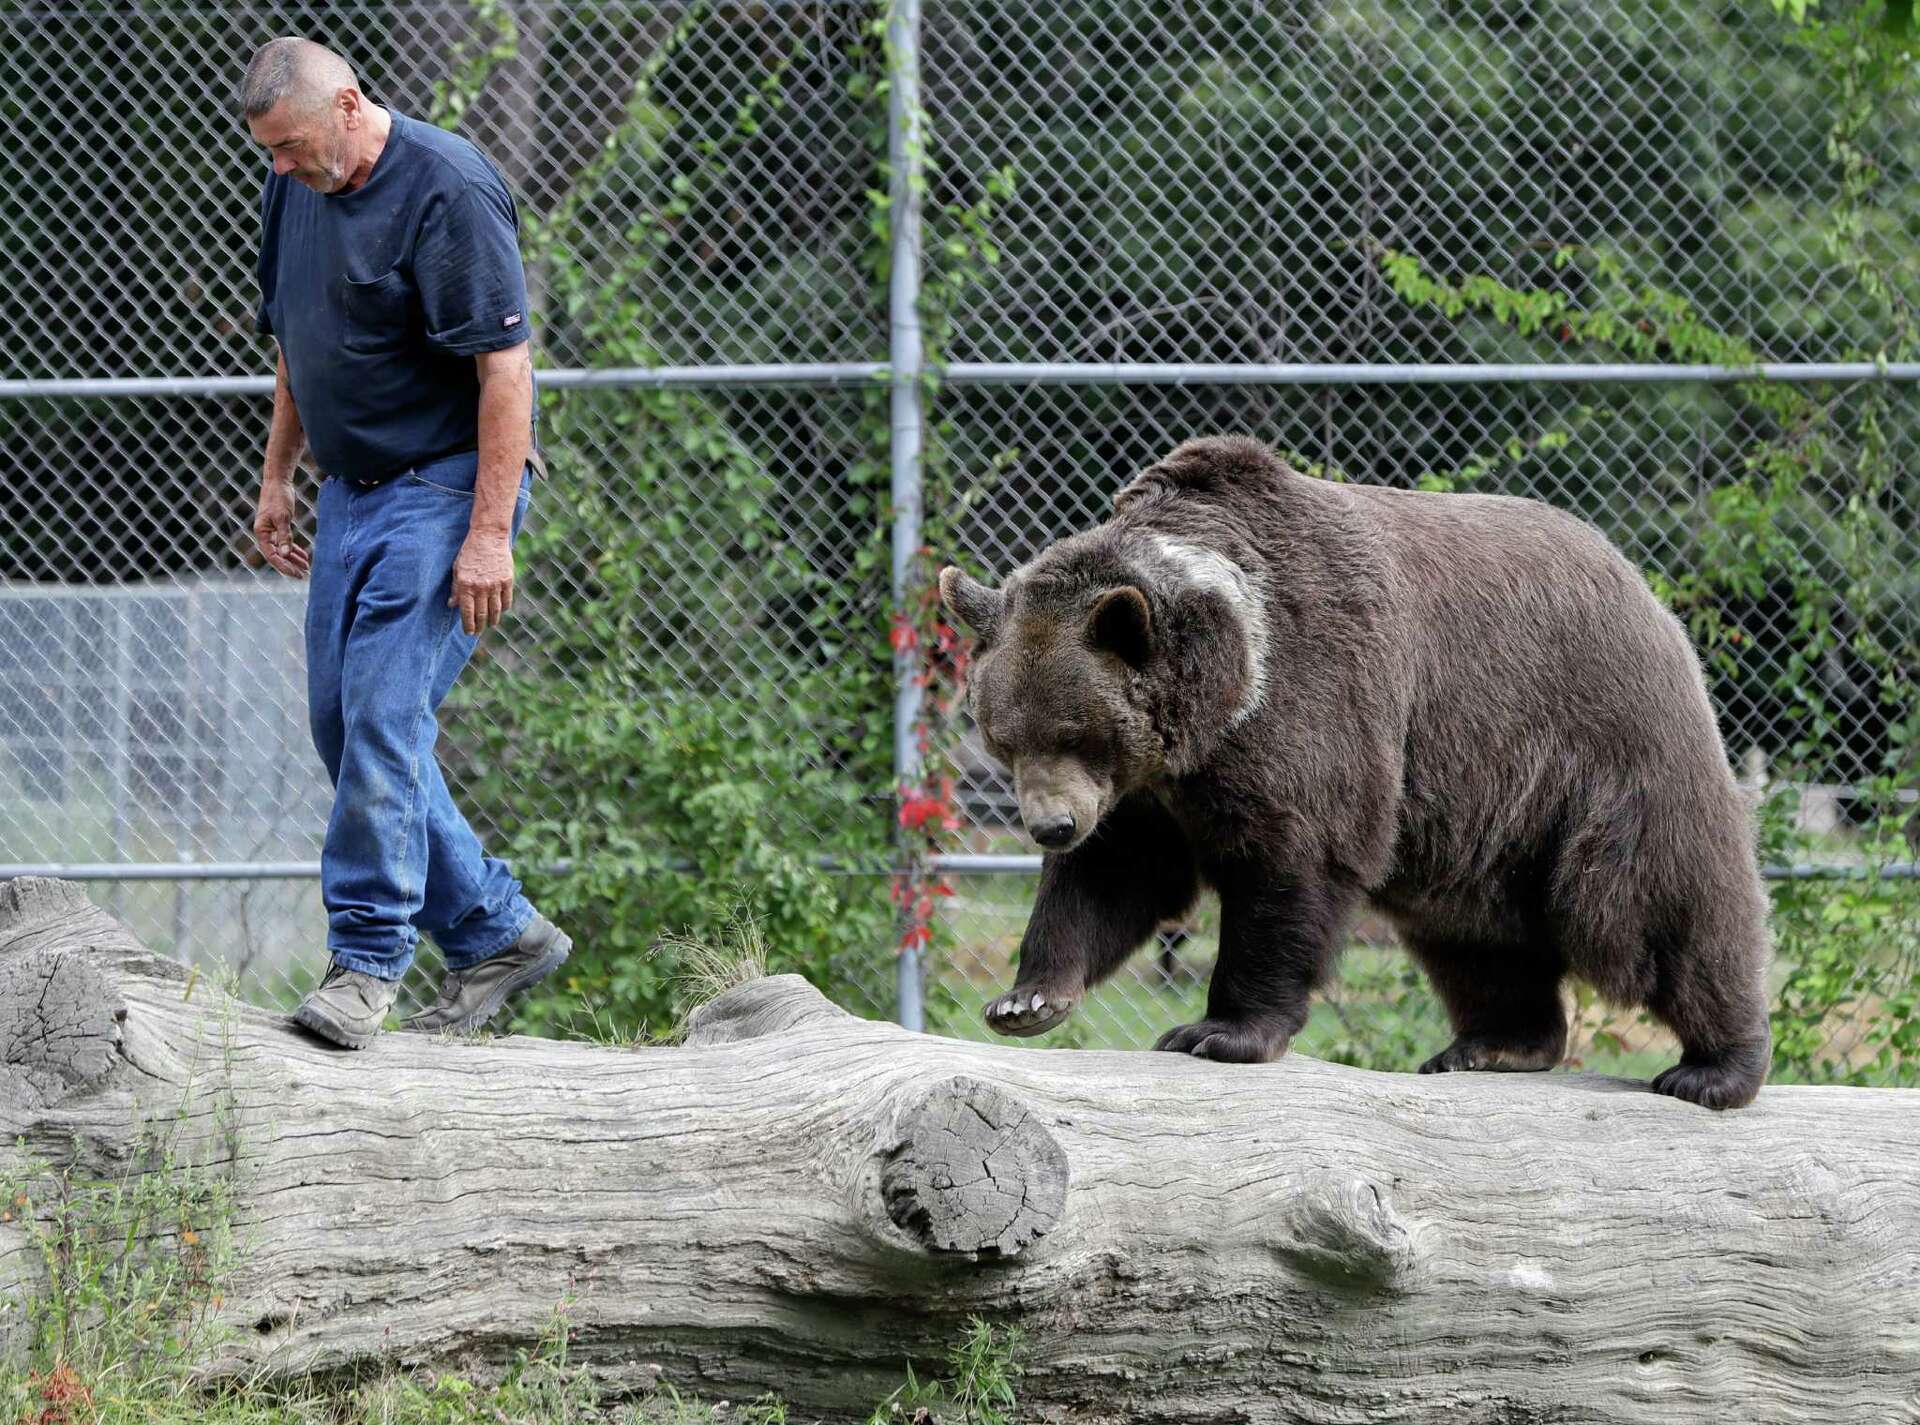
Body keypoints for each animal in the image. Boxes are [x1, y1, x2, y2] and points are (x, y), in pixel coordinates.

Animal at [938, 435, 1773, 1110]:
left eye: (1077, 732)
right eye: (1003, 736)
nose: (1051, 824)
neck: (1224, 699)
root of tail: (1644, 589)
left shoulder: (1315, 705)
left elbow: (1288, 868)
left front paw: (1219, 1029)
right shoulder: (1150, 794)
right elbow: (1112, 878)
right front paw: (1027, 999)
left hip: (1599, 744)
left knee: (1659, 898)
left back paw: (1715, 1066)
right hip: (1477, 820)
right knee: (1477, 938)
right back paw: (1494, 1043)